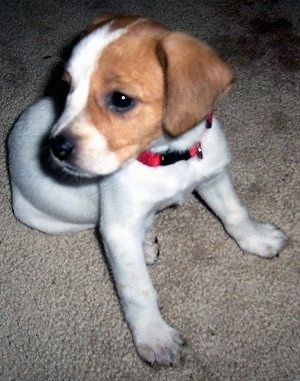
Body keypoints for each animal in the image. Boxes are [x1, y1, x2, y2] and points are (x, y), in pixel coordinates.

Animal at [8, 15, 288, 366]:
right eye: (67, 88)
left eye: (121, 99)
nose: (56, 148)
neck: (168, 157)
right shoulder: (117, 229)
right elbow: (138, 290)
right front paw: (154, 336)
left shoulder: (213, 177)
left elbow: (235, 214)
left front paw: (257, 239)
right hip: (47, 219)